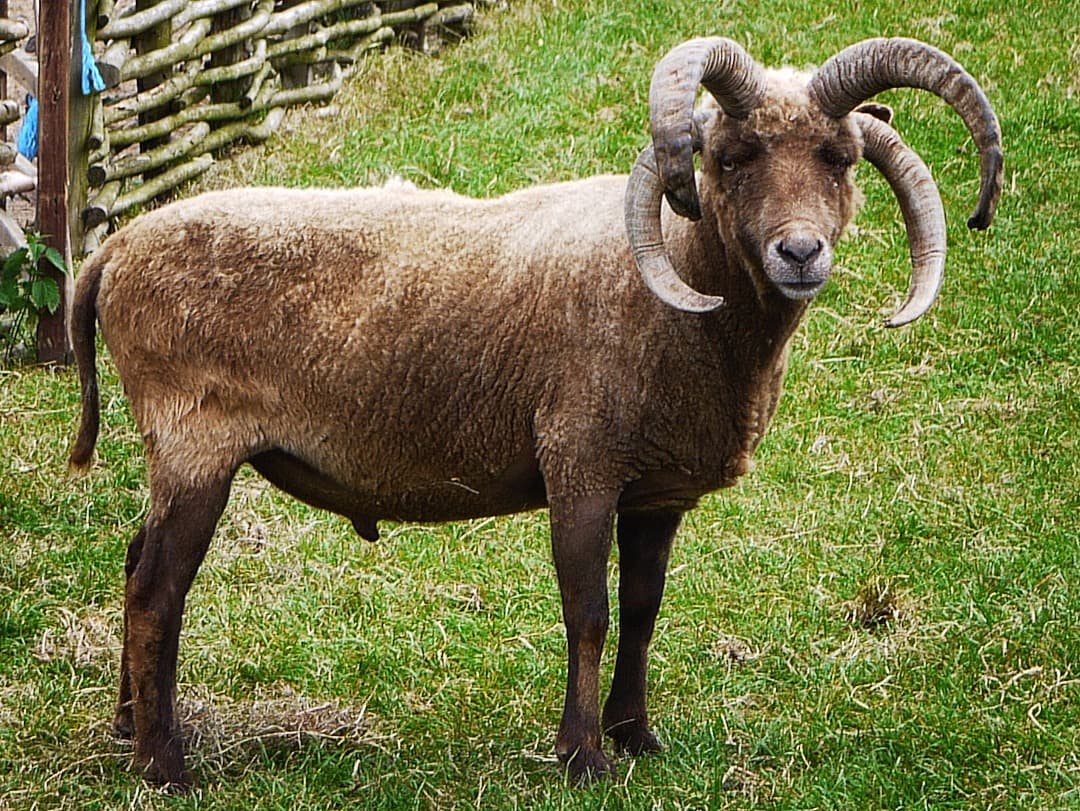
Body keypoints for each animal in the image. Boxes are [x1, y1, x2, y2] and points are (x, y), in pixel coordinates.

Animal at [69, 38, 1002, 786]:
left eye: (839, 157)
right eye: (732, 158)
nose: (800, 252)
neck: (681, 290)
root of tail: (111, 252)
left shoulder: (657, 489)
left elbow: (643, 608)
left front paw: (638, 737)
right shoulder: (580, 462)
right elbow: (587, 609)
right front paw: (582, 756)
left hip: (178, 452)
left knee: (133, 560)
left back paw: (127, 724)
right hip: (194, 441)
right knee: (156, 591)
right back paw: (165, 766)